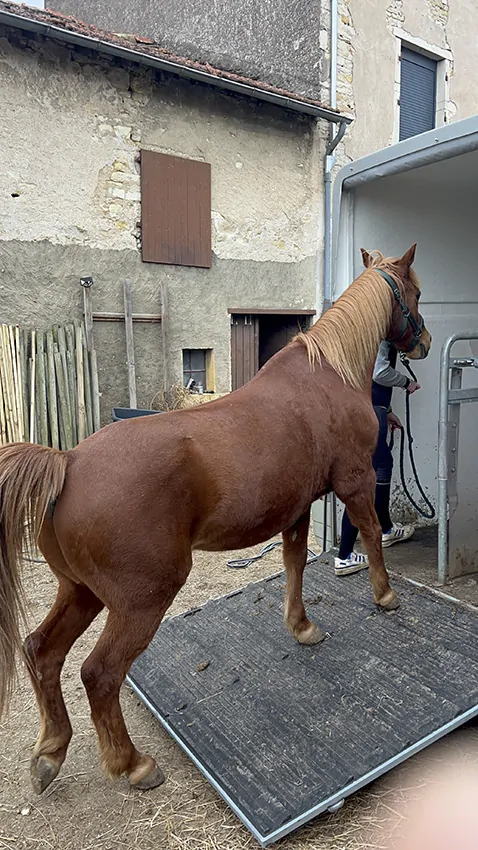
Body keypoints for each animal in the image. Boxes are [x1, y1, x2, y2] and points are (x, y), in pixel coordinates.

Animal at [0, 243, 430, 795]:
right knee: (99, 674)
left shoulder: (296, 507)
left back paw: (51, 753)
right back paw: (133, 765)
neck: (327, 374)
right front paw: (385, 595)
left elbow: (294, 563)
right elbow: (372, 533)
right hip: (140, 602)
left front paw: (302, 626)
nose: (424, 341)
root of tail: (67, 463)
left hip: (80, 592)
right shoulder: (354, 482)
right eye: (414, 292)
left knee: (42, 653)